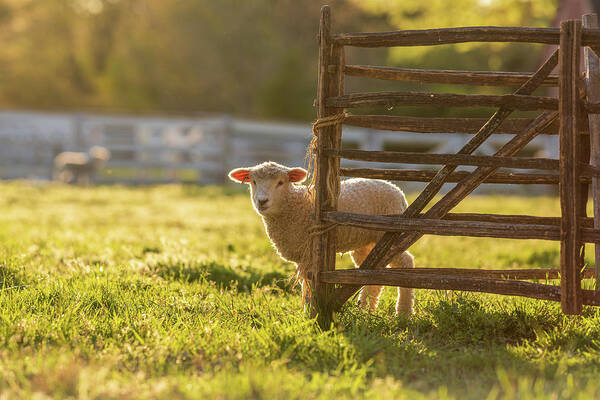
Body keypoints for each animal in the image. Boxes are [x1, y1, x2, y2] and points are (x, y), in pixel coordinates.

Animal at [227, 161, 414, 314]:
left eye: (280, 182)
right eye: (253, 181)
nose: (262, 201)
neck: (295, 205)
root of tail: (396, 189)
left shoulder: (310, 252)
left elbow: (310, 285)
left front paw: (311, 313)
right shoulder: (302, 255)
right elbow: (305, 284)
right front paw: (307, 312)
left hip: (391, 234)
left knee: (406, 262)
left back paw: (403, 313)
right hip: (367, 242)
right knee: (372, 273)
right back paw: (366, 309)